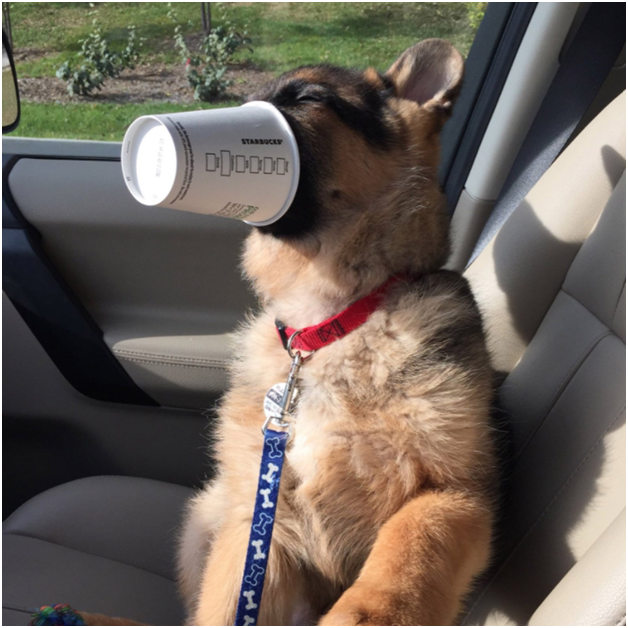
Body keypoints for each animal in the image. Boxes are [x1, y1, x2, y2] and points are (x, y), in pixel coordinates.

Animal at [87, 40, 496, 628]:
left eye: (306, 98)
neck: (329, 326)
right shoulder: (260, 522)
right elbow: (228, 598)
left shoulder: (455, 492)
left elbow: (410, 547)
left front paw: (365, 613)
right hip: (206, 515)